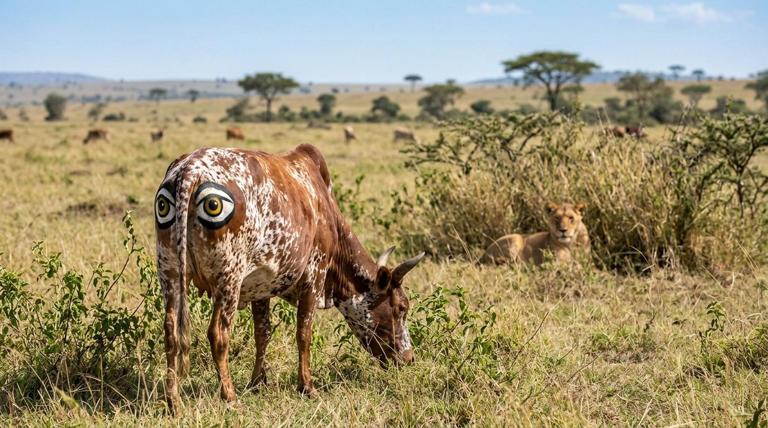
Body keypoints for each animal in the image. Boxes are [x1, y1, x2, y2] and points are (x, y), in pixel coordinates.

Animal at [154, 144, 425, 412]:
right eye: (401, 308)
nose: (409, 358)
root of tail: (190, 170)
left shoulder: (259, 287)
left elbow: (262, 334)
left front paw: (258, 382)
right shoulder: (314, 276)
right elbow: (304, 334)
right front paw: (307, 386)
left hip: (170, 273)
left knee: (171, 331)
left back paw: (173, 400)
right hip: (228, 278)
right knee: (218, 334)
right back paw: (229, 397)